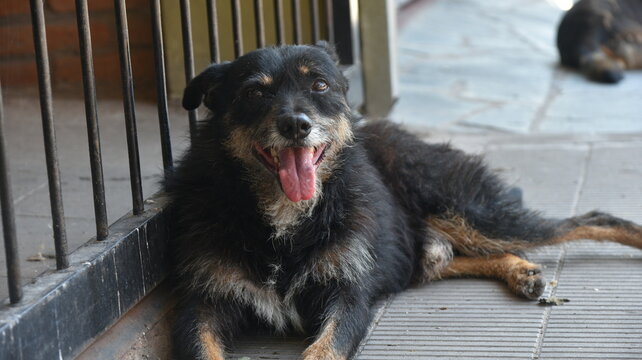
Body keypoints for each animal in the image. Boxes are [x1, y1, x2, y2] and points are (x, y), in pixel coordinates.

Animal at [165, 43, 640, 358]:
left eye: (319, 84)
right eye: (254, 92)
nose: (296, 125)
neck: (285, 217)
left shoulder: (349, 295)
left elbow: (326, 347)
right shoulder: (202, 303)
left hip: (471, 214)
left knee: (586, 218)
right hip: (426, 246)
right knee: (453, 258)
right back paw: (521, 272)